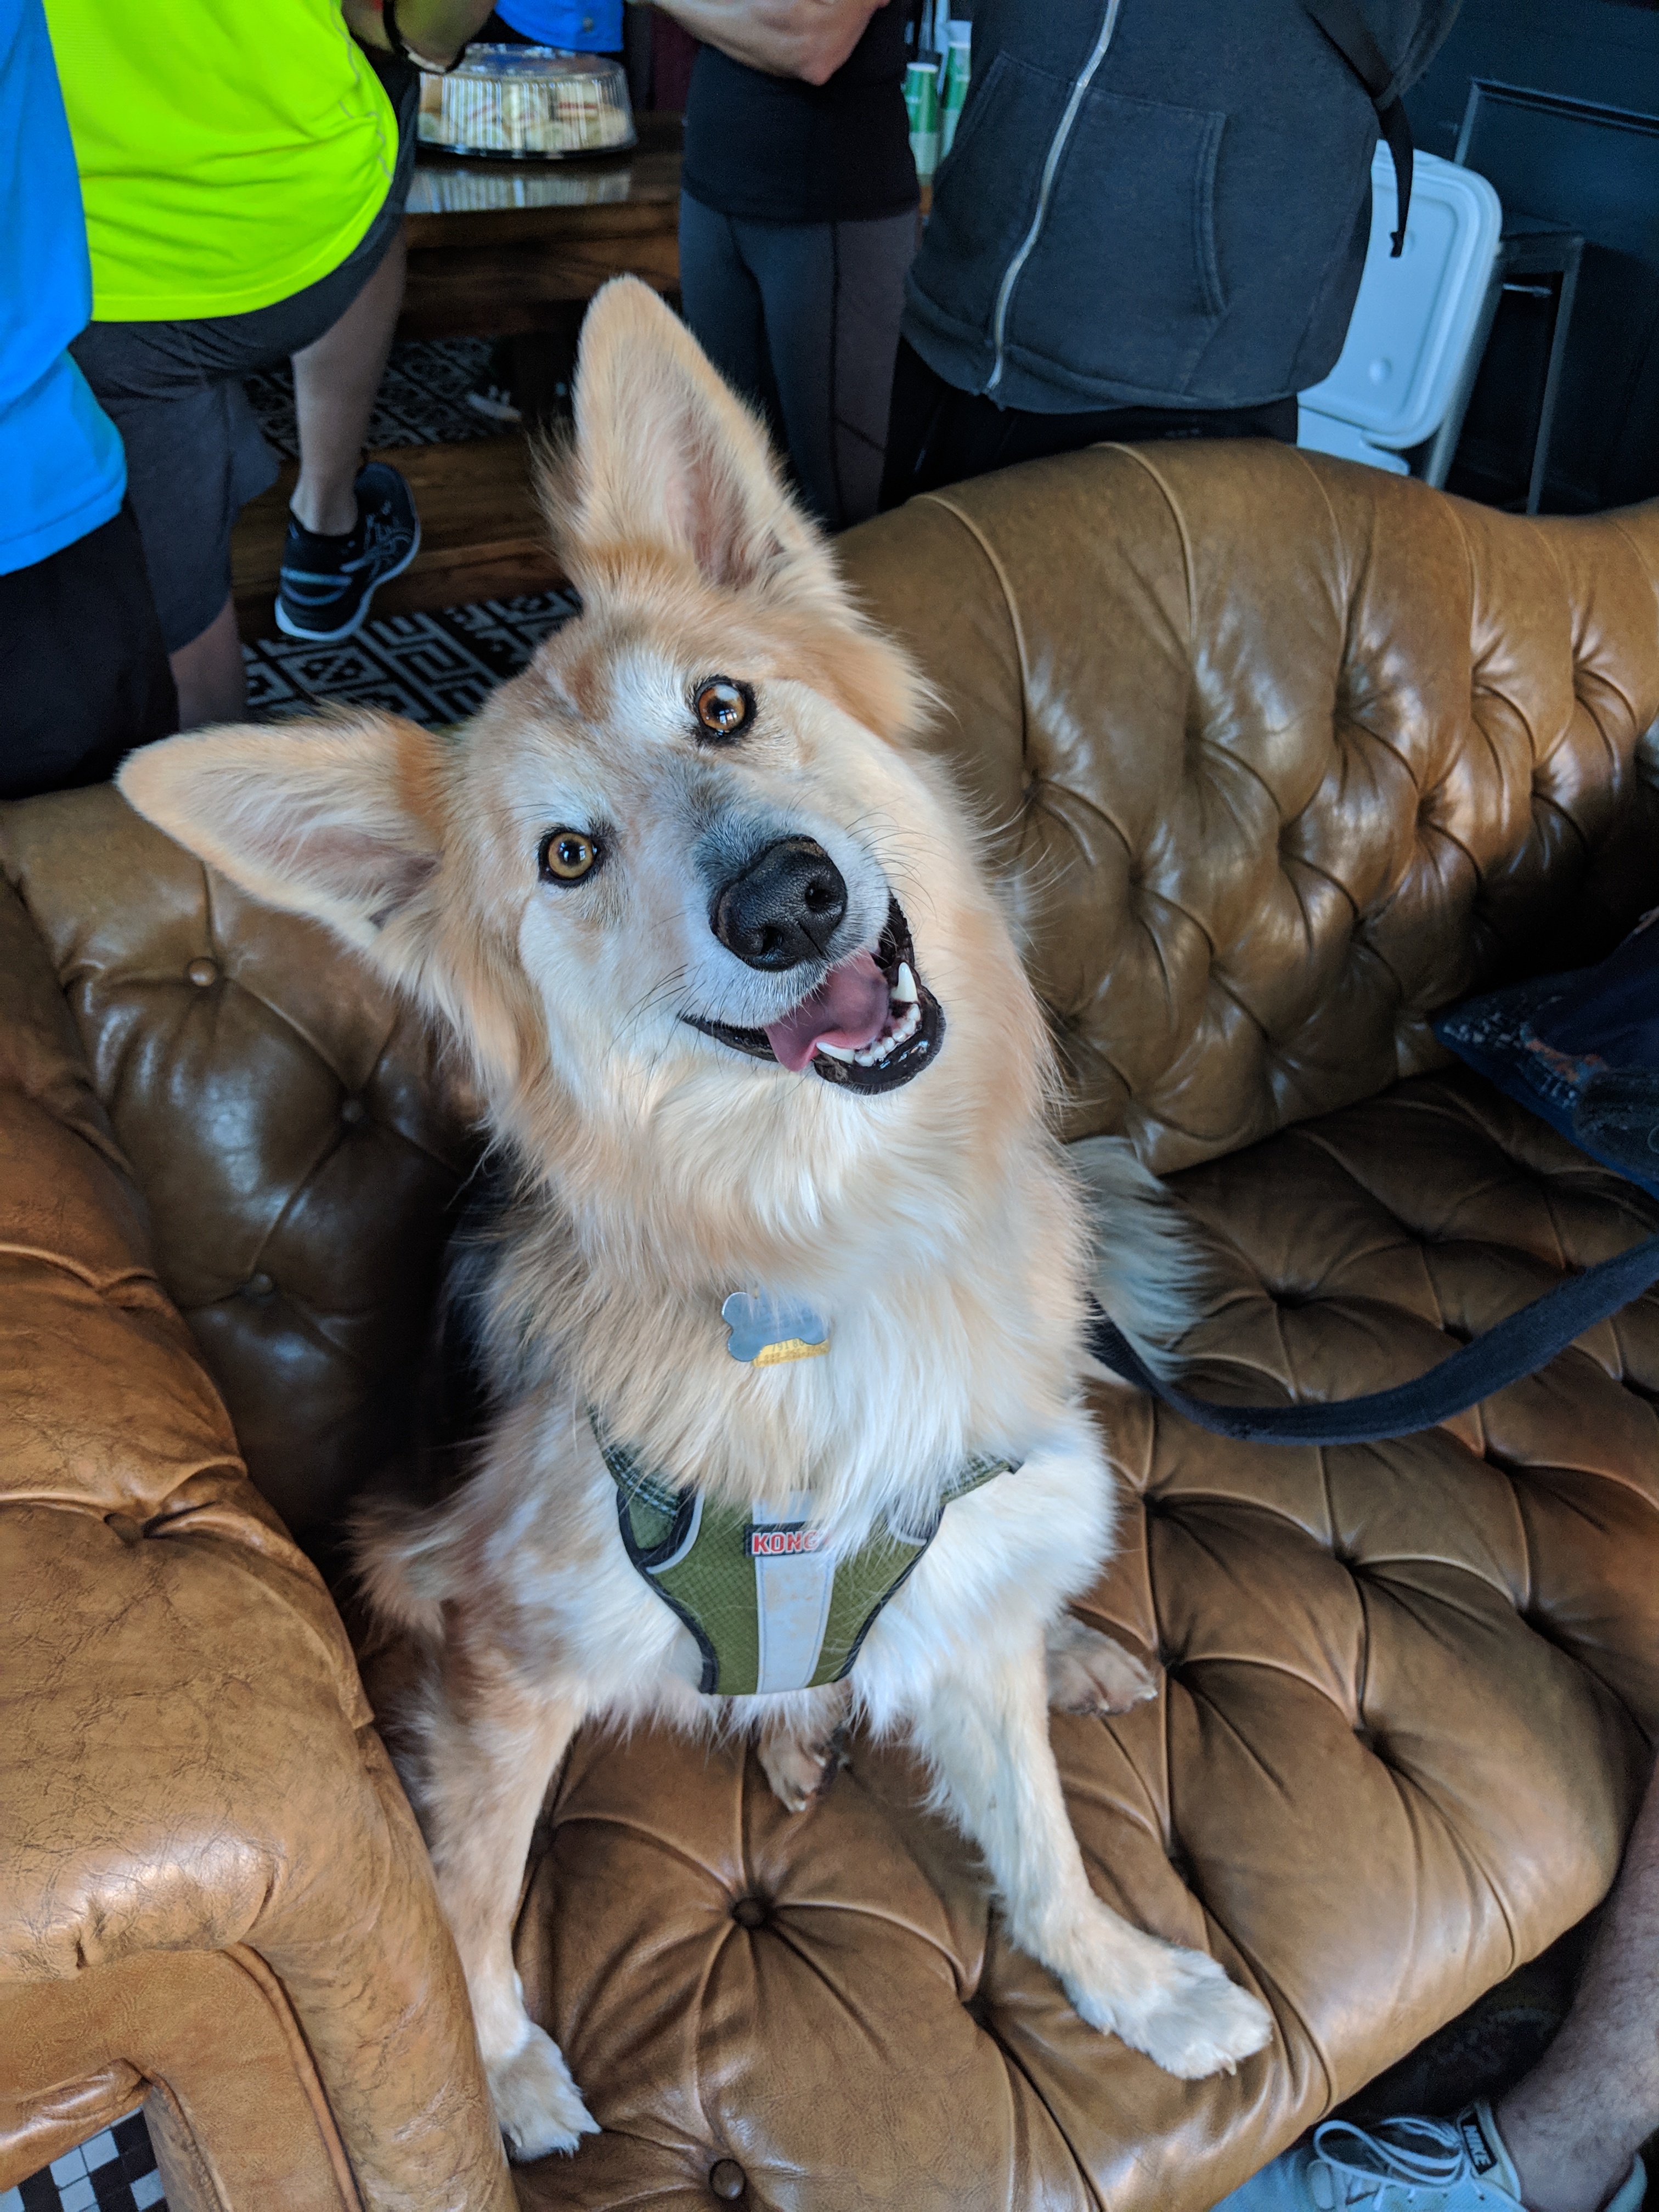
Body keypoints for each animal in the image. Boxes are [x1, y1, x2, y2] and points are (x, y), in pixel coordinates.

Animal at [123, 267, 1274, 2150]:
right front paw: (500, 2069)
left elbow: (1038, 1832)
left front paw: (1124, 1979)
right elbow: (467, 1889)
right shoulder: (511, 1654)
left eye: (724, 710)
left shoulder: (962, 1560)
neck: (820, 1237)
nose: (787, 900)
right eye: (568, 860)